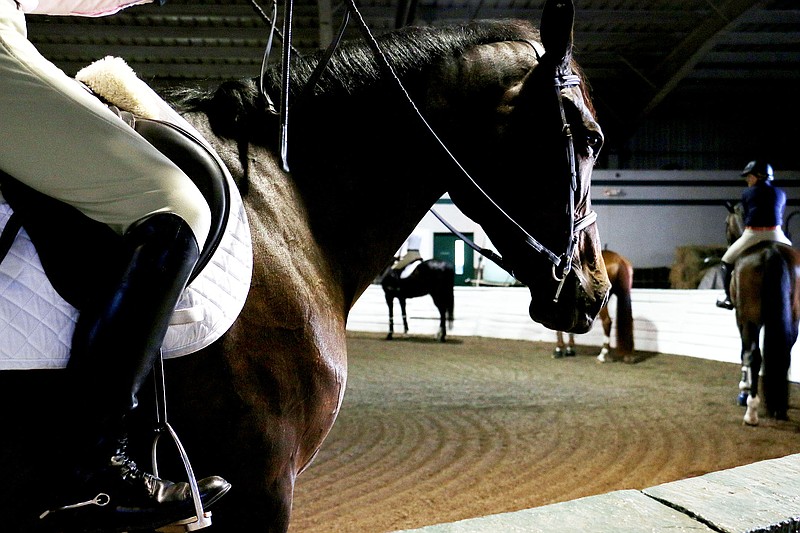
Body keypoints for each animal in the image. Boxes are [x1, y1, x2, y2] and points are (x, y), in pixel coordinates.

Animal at [724, 204, 800, 424]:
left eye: (725, 223)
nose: (728, 241)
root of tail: (771, 252)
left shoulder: (740, 317)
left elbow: (744, 352)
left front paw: (743, 390)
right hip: (793, 317)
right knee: (785, 353)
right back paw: (780, 408)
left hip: (749, 319)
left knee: (754, 355)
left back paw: (751, 411)